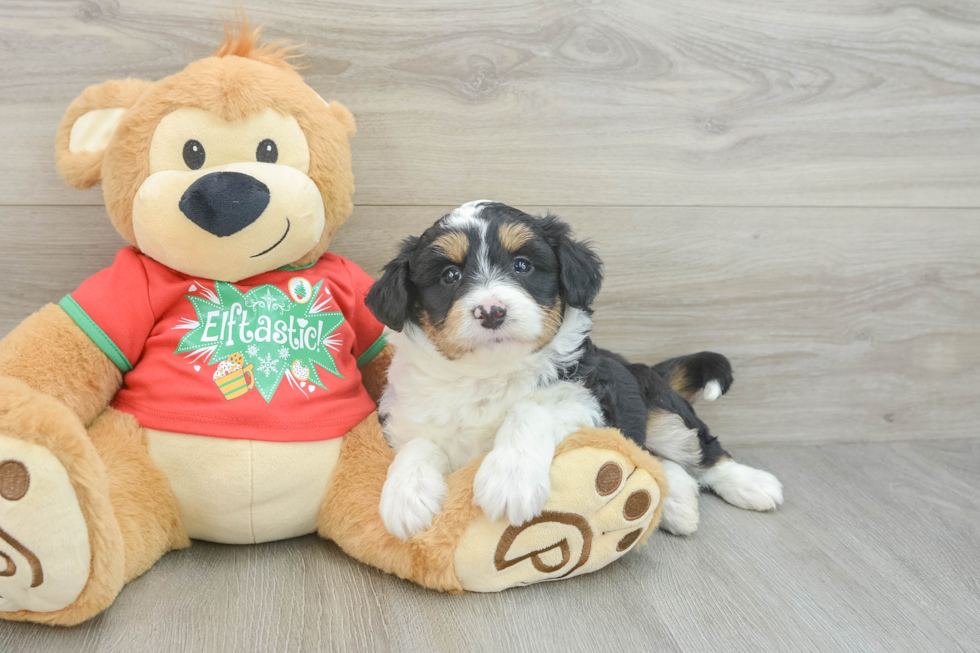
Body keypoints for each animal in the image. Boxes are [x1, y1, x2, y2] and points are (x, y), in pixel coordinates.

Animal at [364, 201, 784, 536]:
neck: (489, 374)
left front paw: (510, 478)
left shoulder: (589, 403)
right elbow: (418, 445)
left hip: (659, 407)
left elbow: (530, 409)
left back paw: (751, 484)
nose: (492, 311)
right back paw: (679, 502)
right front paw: (406, 495)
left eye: (522, 266)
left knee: (701, 450)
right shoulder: (405, 419)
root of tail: (640, 366)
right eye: (449, 276)